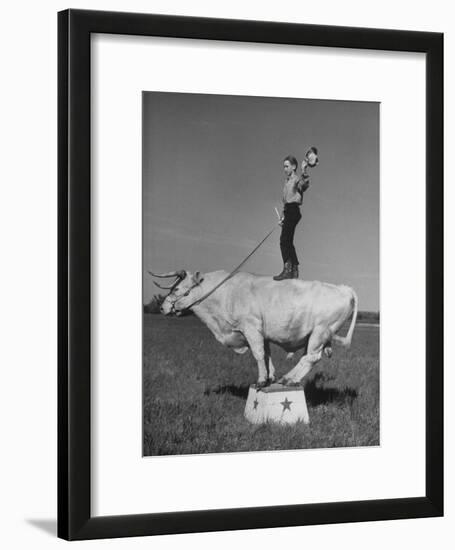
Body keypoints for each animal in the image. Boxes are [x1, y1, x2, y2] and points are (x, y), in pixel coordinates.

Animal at [153, 270, 360, 388]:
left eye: (177, 289)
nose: (162, 307)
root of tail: (344, 288)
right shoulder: (262, 333)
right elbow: (267, 355)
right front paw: (270, 377)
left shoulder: (251, 328)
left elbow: (258, 354)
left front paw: (261, 380)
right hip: (314, 336)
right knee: (307, 358)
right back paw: (288, 378)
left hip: (320, 332)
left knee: (312, 358)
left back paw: (289, 379)